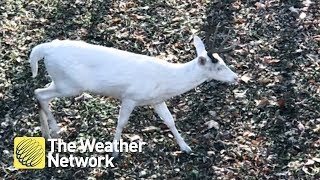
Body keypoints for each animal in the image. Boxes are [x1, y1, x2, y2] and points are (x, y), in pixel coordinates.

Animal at [29, 33, 238, 156]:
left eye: (224, 62)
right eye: (219, 67)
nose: (236, 78)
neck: (167, 81)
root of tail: (44, 49)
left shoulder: (157, 100)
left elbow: (170, 121)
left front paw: (185, 147)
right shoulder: (130, 96)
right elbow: (121, 122)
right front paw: (114, 151)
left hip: (61, 81)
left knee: (39, 92)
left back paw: (46, 134)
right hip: (70, 85)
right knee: (40, 93)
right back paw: (55, 131)